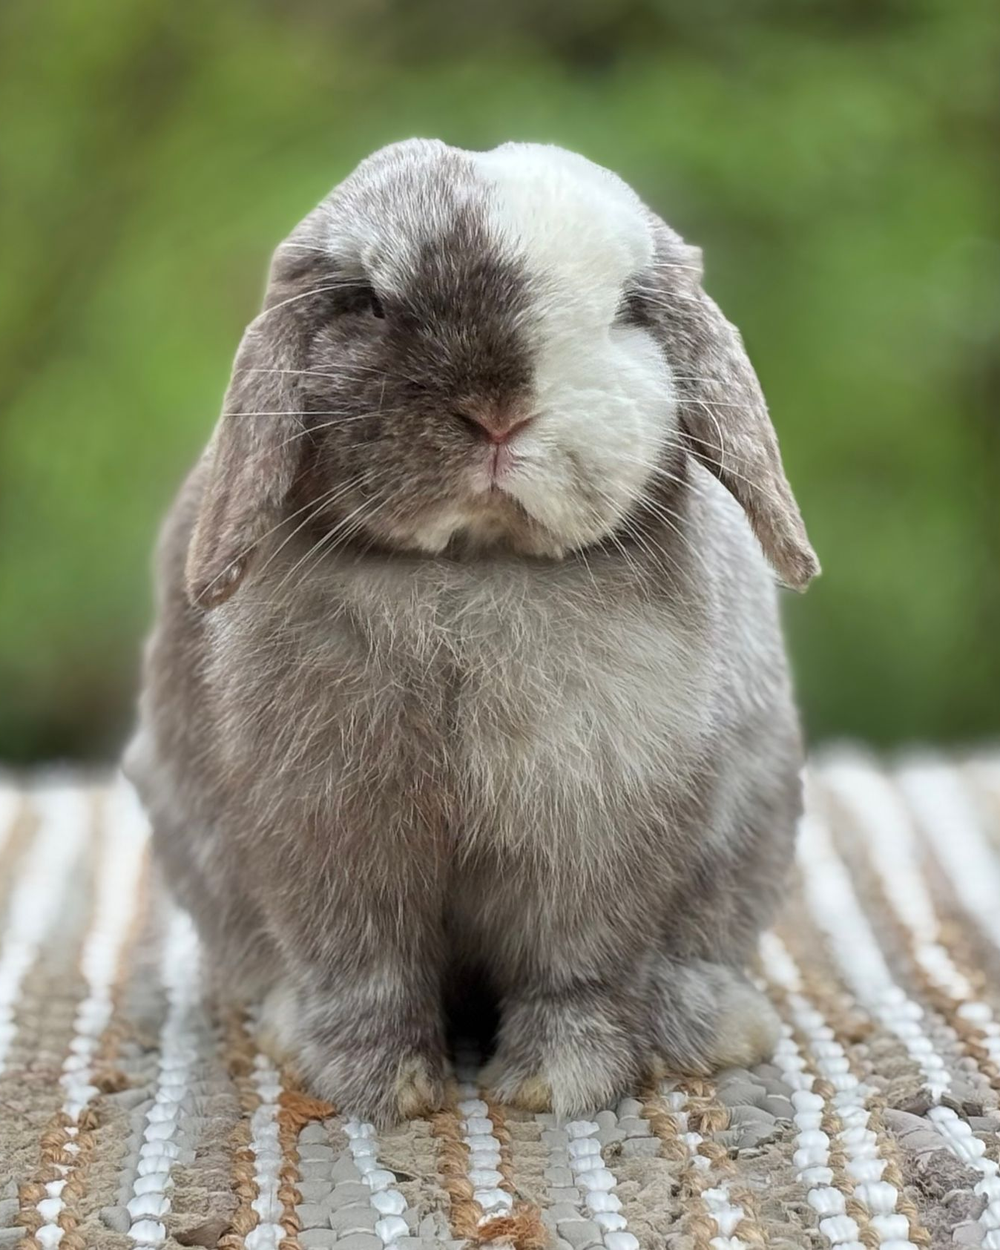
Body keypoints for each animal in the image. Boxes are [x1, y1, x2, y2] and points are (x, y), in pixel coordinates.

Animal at [125, 138, 819, 1127]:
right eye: (369, 301)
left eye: (626, 310)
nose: (496, 411)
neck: (473, 568)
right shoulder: (330, 834)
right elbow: (366, 971)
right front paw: (382, 1089)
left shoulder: (594, 835)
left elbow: (577, 973)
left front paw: (553, 1087)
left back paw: (713, 1031)